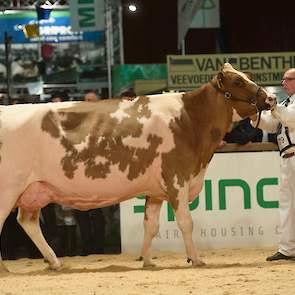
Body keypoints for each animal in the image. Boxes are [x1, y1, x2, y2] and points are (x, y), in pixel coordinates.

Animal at [0, 63, 276, 272]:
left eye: (248, 76)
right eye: (237, 81)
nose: (271, 98)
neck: (190, 120)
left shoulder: (155, 190)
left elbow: (150, 225)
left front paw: (147, 261)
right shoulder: (176, 179)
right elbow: (186, 222)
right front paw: (196, 259)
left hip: (34, 190)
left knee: (27, 222)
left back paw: (55, 262)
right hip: (9, 187)